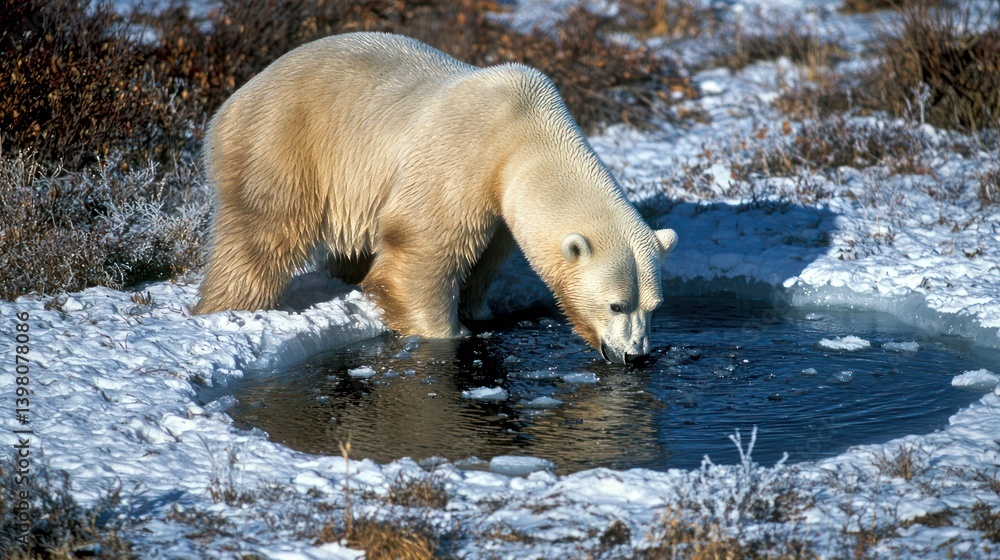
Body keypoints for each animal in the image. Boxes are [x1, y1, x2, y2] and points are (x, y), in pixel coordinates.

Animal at [192, 32, 677, 364]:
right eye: (616, 304)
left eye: (654, 306)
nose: (635, 356)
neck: (525, 130)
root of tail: (232, 101)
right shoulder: (464, 154)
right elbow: (423, 245)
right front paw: (448, 332)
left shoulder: (500, 197)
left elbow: (487, 253)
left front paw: (478, 309)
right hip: (284, 143)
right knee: (262, 232)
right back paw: (230, 305)